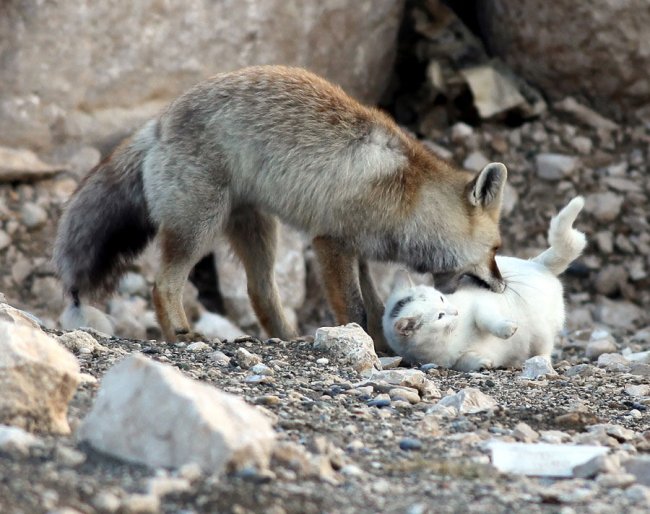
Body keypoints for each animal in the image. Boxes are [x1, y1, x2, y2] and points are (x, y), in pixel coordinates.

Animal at [53, 66, 508, 342]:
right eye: (496, 249)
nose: (504, 285)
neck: (408, 195)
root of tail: (159, 121)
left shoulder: (359, 251)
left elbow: (377, 307)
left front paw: (382, 348)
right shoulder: (332, 242)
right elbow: (357, 310)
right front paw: (364, 346)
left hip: (259, 230)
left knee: (259, 292)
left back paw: (286, 338)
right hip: (199, 225)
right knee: (163, 285)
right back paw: (182, 335)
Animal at [380, 195, 588, 368]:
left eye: (441, 298)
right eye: (440, 316)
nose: (455, 311)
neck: (448, 338)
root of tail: (535, 263)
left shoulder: (480, 305)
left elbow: (487, 320)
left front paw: (507, 329)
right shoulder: (451, 361)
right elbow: (465, 361)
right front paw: (482, 363)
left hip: (541, 332)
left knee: (545, 349)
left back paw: (539, 361)